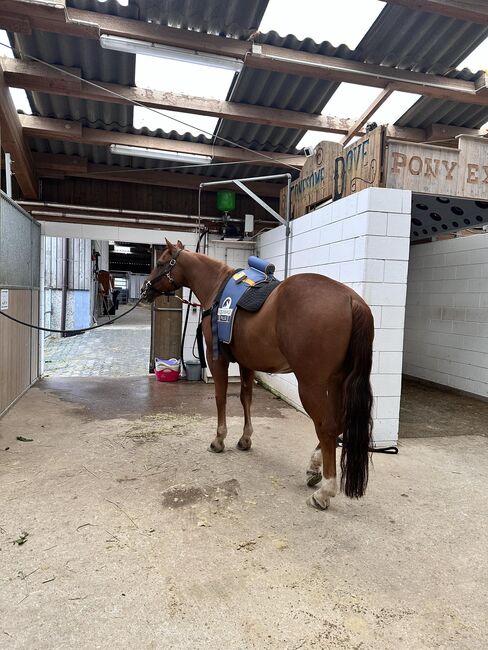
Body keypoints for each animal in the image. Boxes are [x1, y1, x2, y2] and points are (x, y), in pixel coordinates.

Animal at [141, 240, 374, 508]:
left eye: (161, 263)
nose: (145, 289)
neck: (217, 287)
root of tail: (350, 299)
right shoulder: (246, 363)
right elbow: (246, 398)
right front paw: (245, 439)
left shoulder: (217, 359)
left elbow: (221, 397)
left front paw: (219, 440)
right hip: (337, 382)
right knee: (337, 424)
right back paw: (314, 468)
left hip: (311, 385)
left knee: (326, 427)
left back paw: (325, 491)